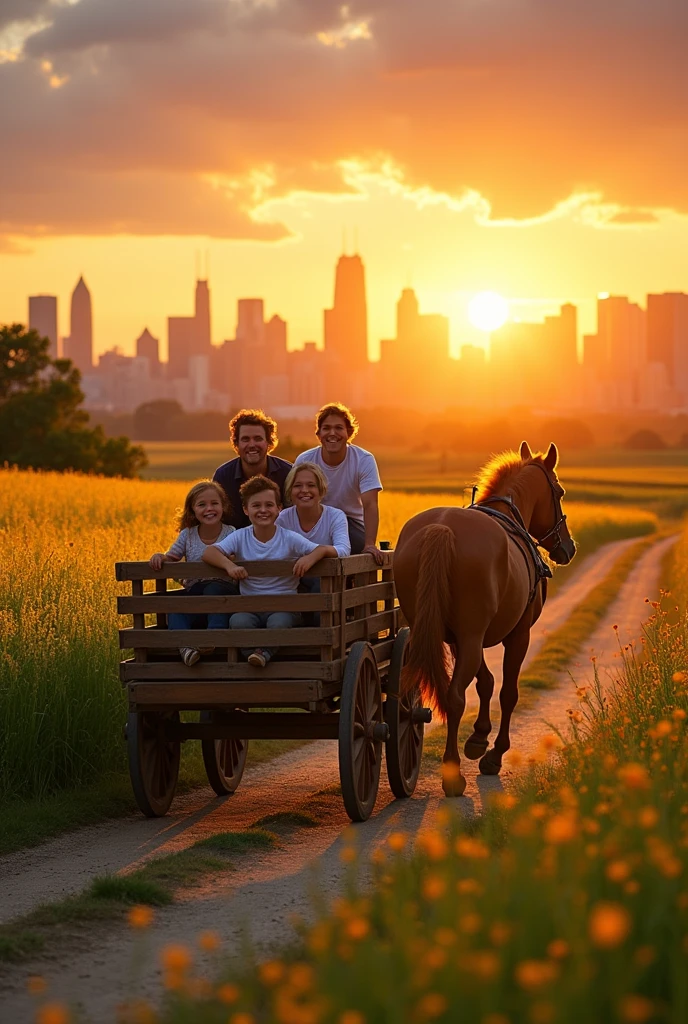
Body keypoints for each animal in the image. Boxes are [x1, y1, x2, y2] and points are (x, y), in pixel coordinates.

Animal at [393, 436, 573, 794]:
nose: (568, 548)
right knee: (454, 697)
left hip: (438, 633)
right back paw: (452, 775)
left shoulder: (460, 639)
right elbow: (508, 692)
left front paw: (478, 738)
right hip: (474, 636)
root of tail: (442, 529)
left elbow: (486, 682)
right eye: (559, 492)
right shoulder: (517, 635)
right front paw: (494, 754)